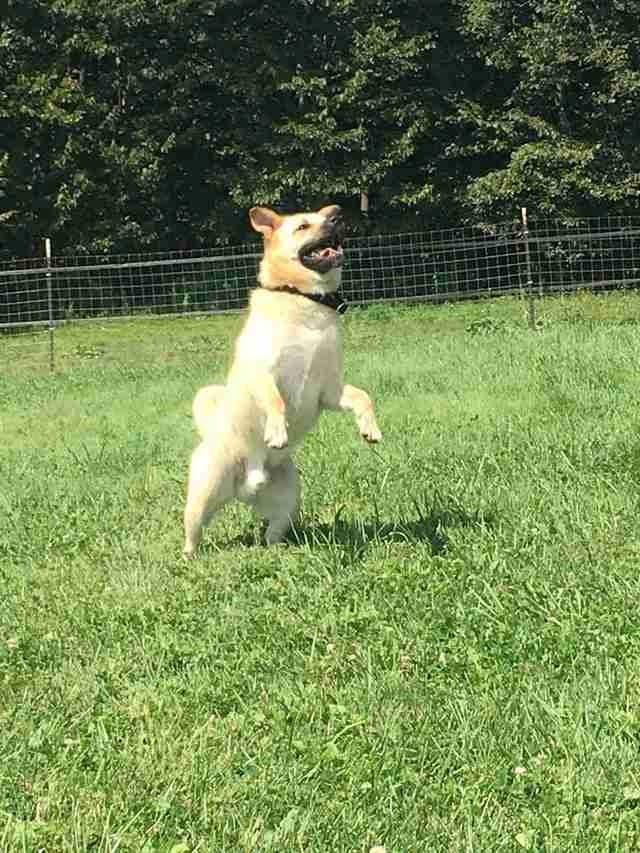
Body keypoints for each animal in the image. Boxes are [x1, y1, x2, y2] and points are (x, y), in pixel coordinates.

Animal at [182, 203, 382, 556]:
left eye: (328, 217)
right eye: (303, 226)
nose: (338, 217)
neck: (303, 298)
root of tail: (247, 485)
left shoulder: (330, 390)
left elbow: (362, 396)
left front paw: (369, 428)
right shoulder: (262, 374)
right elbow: (274, 399)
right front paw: (277, 431)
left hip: (289, 496)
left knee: (273, 530)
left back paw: (277, 549)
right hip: (205, 491)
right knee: (194, 530)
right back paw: (188, 557)